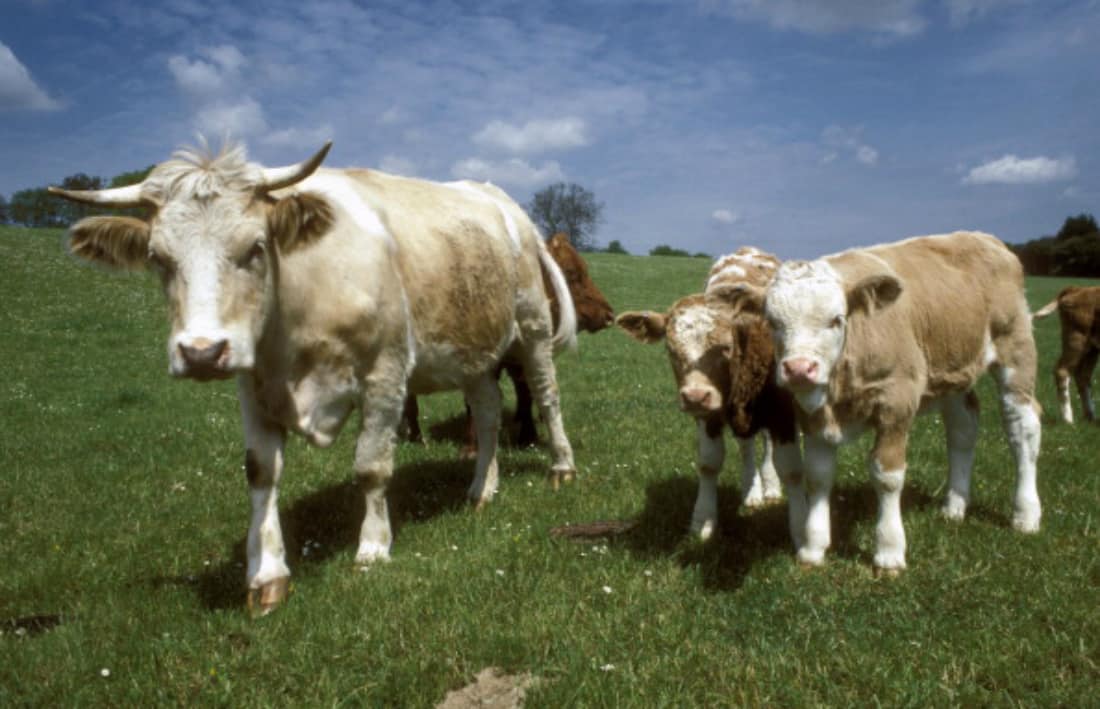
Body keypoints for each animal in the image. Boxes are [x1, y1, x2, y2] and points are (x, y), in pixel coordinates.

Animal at [49, 141, 578, 614]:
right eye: (158, 258)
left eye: (255, 247)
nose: (201, 353)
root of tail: (502, 202)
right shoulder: (253, 385)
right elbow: (261, 471)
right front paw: (266, 574)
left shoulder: (385, 373)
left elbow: (371, 466)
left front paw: (372, 547)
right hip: (472, 353)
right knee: (487, 413)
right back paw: (481, 490)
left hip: (532, 326)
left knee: (547, 396)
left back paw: (561, 467)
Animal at [403, 232, 614, 450]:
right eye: (570, 273)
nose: (609, 315)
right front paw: (472, 447)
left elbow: (526, 393)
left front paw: (528, 437)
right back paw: (415, 436)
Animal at [616, 247, 805, 544]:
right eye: (670, 349)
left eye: (726, 346)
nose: (695, 396)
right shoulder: (709, 414)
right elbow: (708, 464)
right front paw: (702, 521)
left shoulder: (782, 411)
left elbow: (791, 469)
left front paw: (802, 531)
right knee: (746, 447)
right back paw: (751, 491)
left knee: (766, 445)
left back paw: (770, 487)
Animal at [711, 232, 1042, 573]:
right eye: (773, 322)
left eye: (836, 320)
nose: (800, 369)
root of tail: (985, 239)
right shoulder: (813, 416)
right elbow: (818, 476)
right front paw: (813, 548)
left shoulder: (897, 404)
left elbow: (887, 476)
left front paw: (889, 551)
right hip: (953, 371)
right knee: (963, 430)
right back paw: (954, 506)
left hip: (1016, 350)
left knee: (1023, 430)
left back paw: (1026, 514)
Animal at [1032, 285, 1100, 423]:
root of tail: (1077, 288)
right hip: (1076, 340)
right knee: (1062, 371)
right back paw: (1068, 419)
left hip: (1091, 349)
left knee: (1083, 376)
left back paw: (1090, 417)